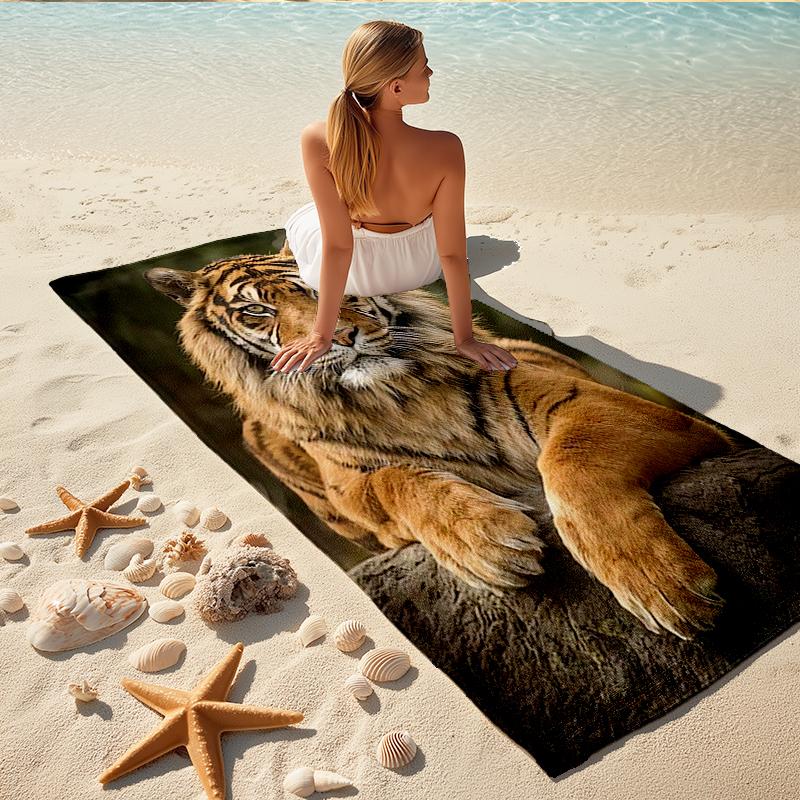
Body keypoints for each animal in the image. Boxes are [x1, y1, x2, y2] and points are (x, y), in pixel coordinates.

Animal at [145, 243, 734, 641]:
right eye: (256, 312)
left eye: (319, 288)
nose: (342, 337)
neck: (391, 398)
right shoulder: (359, 496)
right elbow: (397, 482)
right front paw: (486, 541)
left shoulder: (587, 401)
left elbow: (572, 460)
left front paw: (660, 583)